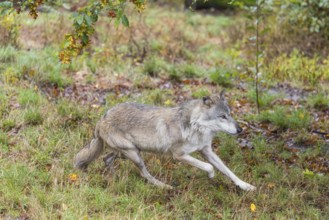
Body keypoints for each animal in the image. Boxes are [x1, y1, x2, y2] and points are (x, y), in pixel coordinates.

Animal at [74, 90, 256, 191]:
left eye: (230, 114)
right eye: (222, 116)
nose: (240, 130)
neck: (195, 126)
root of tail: (101, 119)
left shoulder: (206, 151)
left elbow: (228, 171)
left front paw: (245, 186)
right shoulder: (179, 155)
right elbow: (209, 167)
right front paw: (211, 176)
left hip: (128, 152)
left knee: (106, 159)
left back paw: (115, 177)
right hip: (134, 154)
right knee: (144, 173)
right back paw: (165, 186)